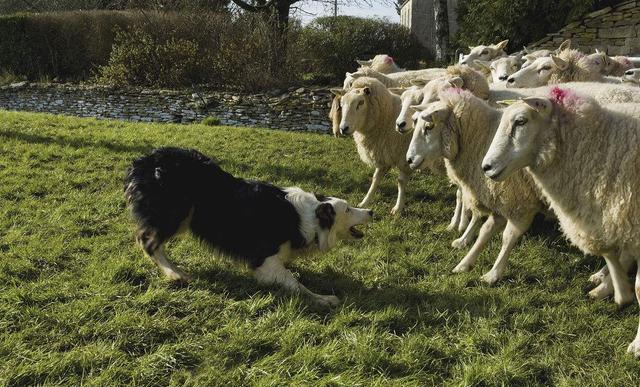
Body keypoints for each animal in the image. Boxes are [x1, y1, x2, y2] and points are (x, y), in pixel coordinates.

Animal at [408, 88, 544, 284]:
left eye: (429, 127)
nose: (409, 160)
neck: (481, 138)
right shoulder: (497, 196)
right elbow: (484, 230)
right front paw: (464, 255)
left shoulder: (520, 204)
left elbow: (507, 237)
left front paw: (494, 274)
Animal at [482, 88, 640, 358]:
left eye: (521, 121)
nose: (486, 167)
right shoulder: (608, 215)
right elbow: (610, 251)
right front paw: (620, 292)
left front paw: (637, 344)